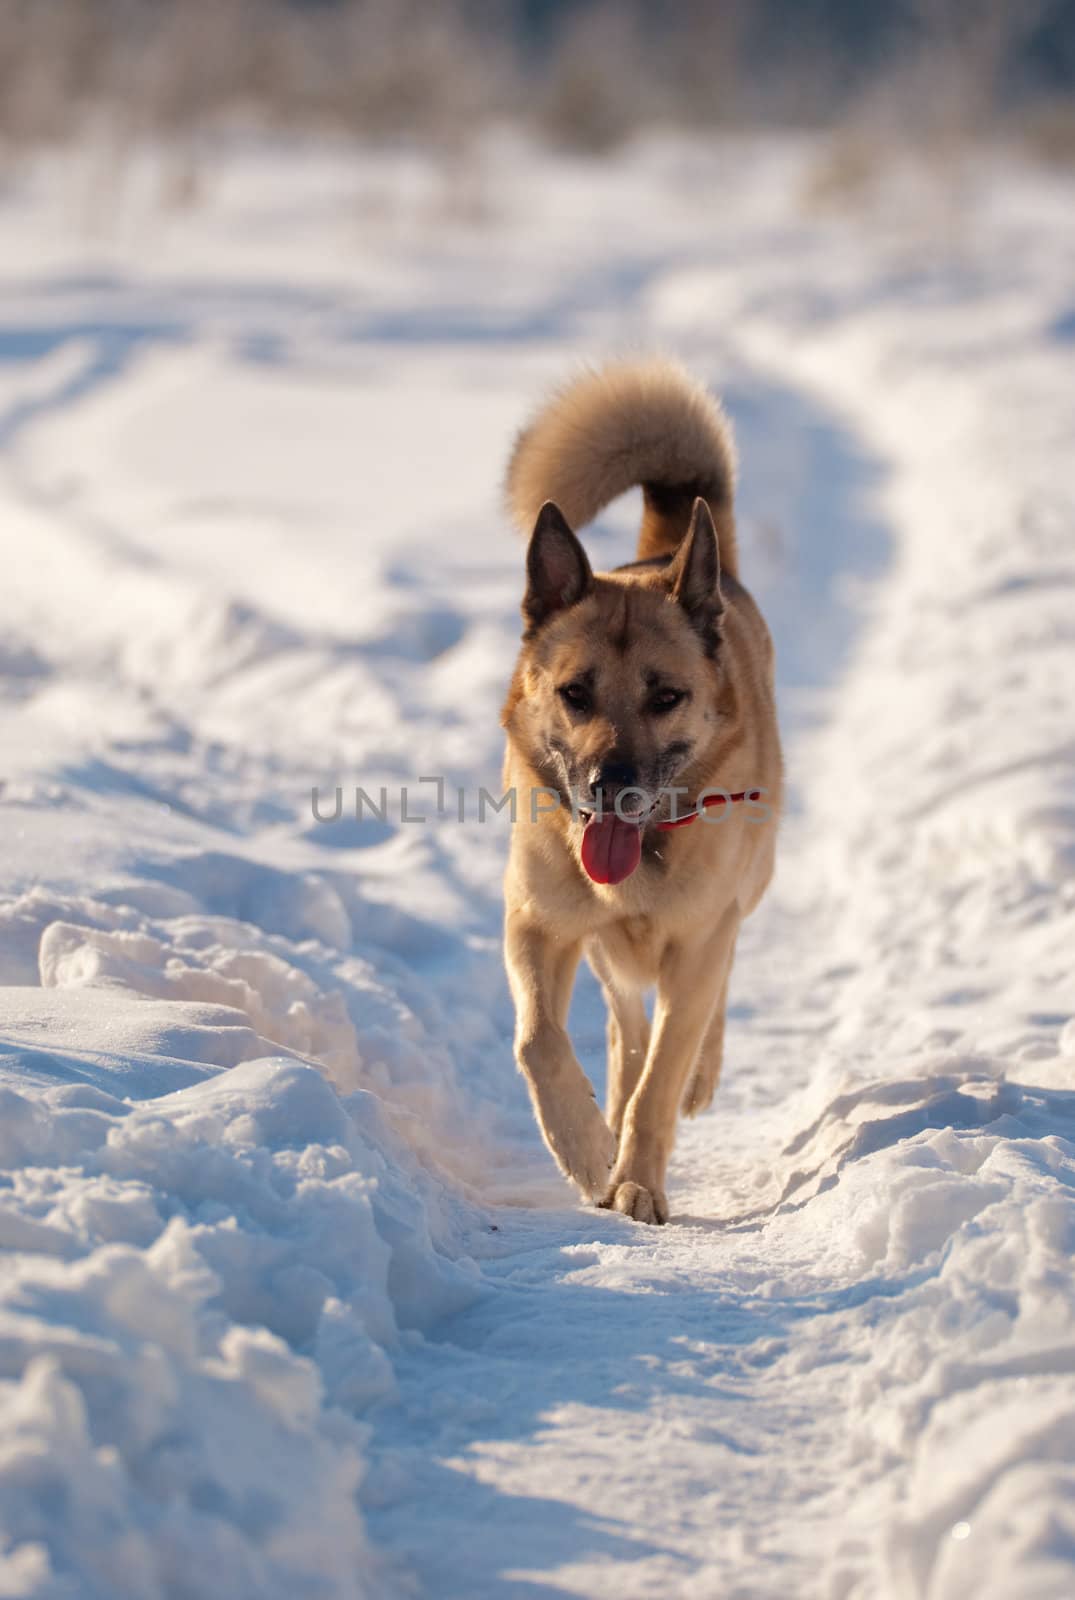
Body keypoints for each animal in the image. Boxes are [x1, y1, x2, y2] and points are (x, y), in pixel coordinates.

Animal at [495, 356, 780, 1216]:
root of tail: (665, 558)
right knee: (625, 1023)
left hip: (739, 895)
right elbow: (539, 1042)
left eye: (665, 697)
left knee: (696, 1009)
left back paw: (691, 1079)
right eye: (574, 693)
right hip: (603, 946)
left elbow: (663, 1072)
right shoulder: (538, 924)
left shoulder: (697, 939)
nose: (608, 786)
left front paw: (636, 1182)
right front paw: (588, 1151)